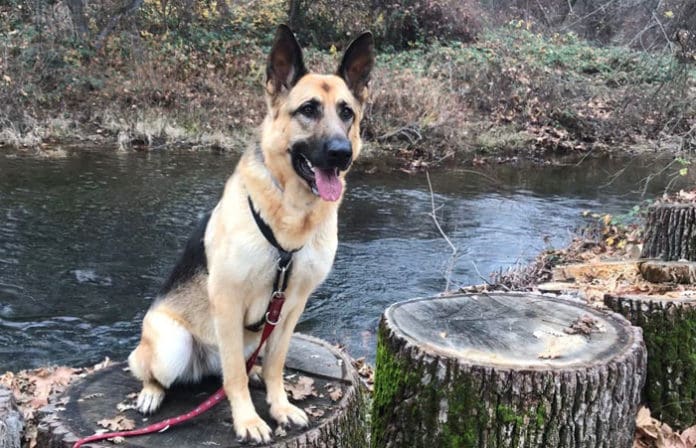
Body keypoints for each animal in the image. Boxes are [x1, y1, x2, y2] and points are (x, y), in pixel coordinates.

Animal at [125, 26, 376, 442]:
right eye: (308, 110)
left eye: (347, 113)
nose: (341, 153)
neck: (291, 218)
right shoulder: (227, 301)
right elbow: (234, 378)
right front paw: (248, 420)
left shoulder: (291, 307)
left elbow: (275, 363)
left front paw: (280, 406)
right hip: (172, 342)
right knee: (159, 371)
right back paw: (152, 393)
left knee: (240, 366)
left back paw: (254, 372)